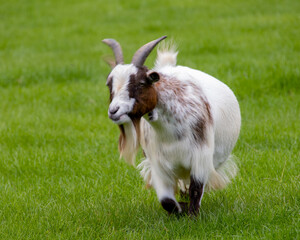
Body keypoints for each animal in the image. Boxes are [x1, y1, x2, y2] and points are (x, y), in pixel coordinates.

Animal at [102, 36, 240, 216]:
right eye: (109, 85)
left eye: (141, 83)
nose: (114, 111)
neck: (170, 134)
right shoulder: (158, 165)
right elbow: (166, 201)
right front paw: (180, 208)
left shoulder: (201, 158)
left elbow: (196, 190)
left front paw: (192, 215)